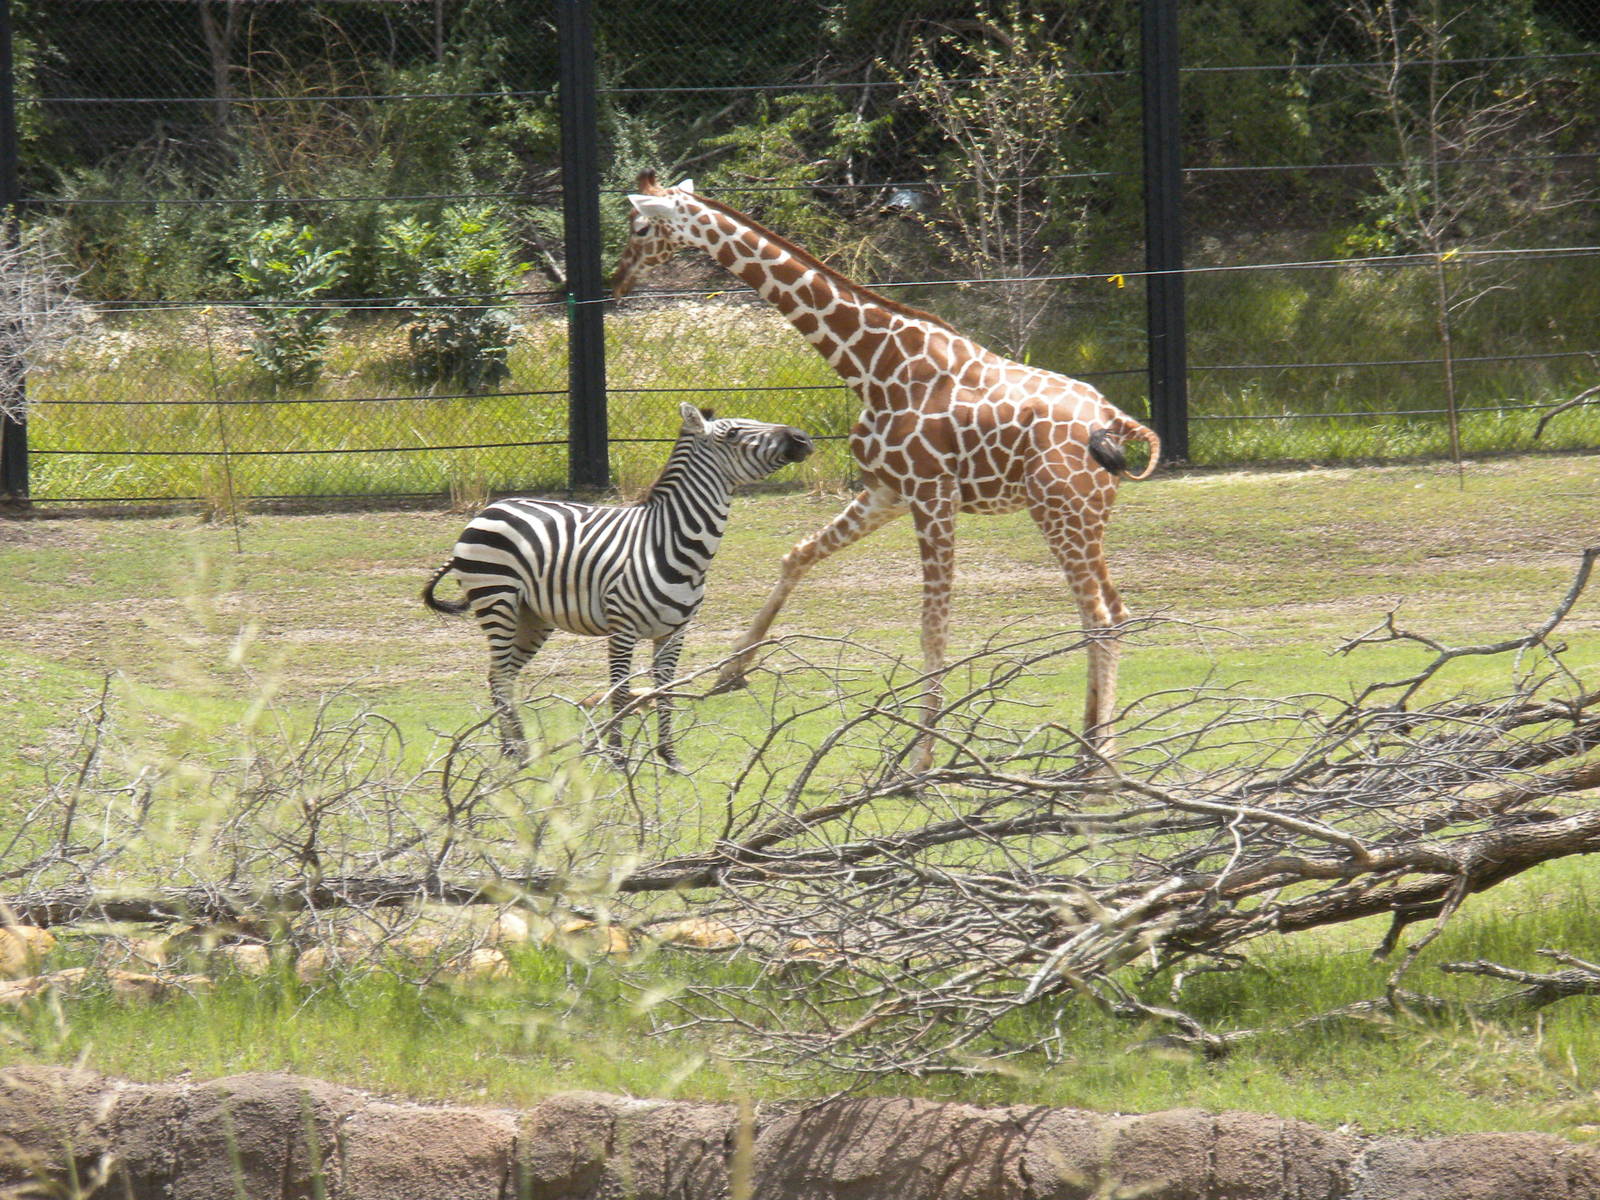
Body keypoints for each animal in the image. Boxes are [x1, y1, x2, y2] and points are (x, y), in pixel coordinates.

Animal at [423, 402, 814, 767]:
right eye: (732, 434)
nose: (803, 437)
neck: (670, 541)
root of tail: (490, 509)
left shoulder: (674, 632)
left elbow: (665, 690)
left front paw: (669, 756)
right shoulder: (622, 629)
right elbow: (621, 692)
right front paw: (616, 756)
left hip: (532, 616)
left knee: (498, 675)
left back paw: (514, 749)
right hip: (496, 600)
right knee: (502, 676)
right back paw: (519, 752)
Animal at [611, 172, 1160, 772]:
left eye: (640, 228)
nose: (616, 280)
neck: (873, 365)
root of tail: (1119, 420)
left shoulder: (932, 494)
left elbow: (933, 630)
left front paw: (920, 761)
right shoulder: (887, 491)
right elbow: (796, 556)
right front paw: (731, 672)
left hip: (1061, 511)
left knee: (1099, 618)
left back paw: (1097, 764)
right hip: (1085, 516)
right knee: (1116, 611)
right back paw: (1095, 749)